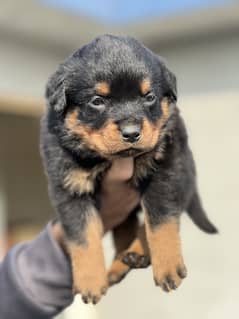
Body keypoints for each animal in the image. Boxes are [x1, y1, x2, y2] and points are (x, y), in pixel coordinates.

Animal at [40, 35, 218, 304]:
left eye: (149, 97)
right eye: (97, 101)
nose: (132, 133)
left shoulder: (165, 169)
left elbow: (161, 220)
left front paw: (168, 265)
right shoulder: (69, 186)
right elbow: (82, 236)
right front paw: (90, 281)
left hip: (184, 173)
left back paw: (137, 252)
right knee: (125, 230)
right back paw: (120, 264)